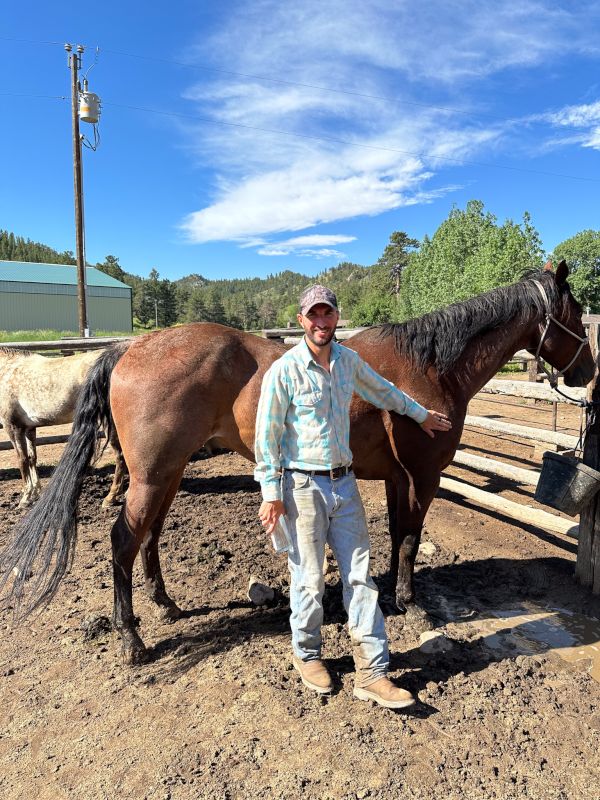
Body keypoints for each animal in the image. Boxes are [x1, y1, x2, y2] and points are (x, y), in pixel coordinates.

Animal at [0, 346, 126, 504]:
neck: (6, 371)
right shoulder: (29, 428)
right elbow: (32, 458)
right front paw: (36, 493)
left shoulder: (12, 427)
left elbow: (22, 460)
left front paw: (25, 498)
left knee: (121, 455)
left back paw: (111, 497)